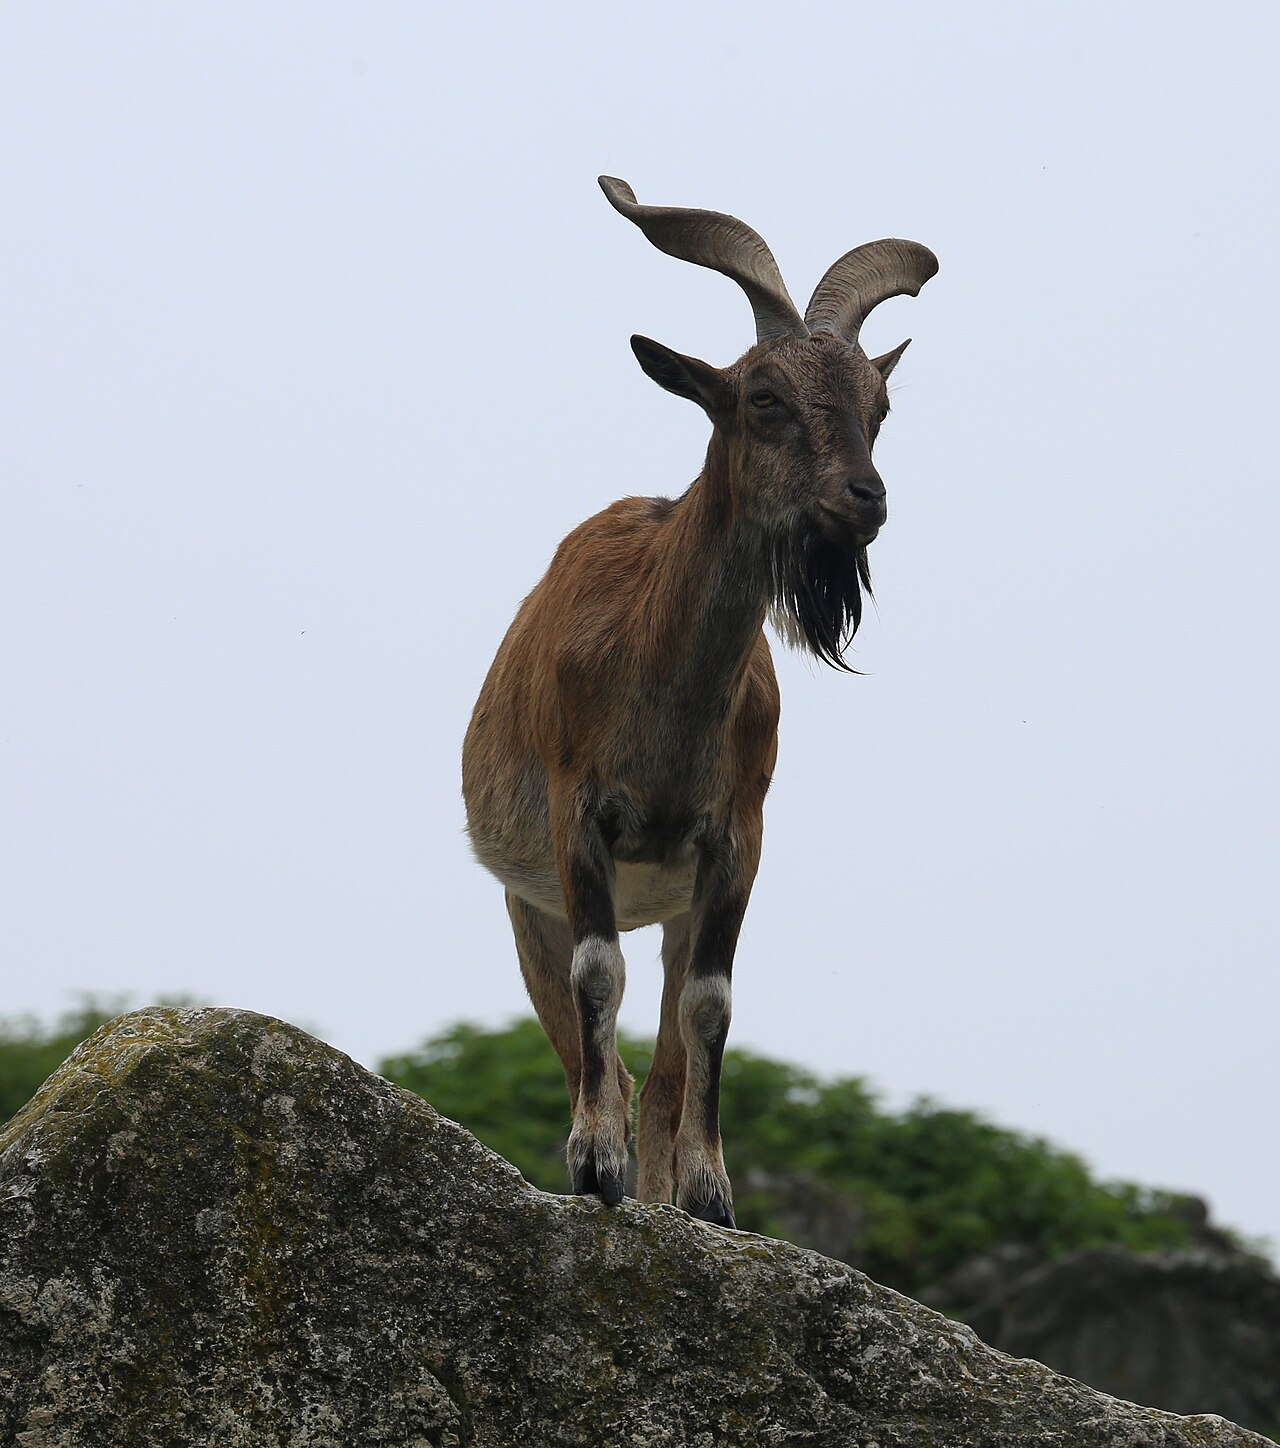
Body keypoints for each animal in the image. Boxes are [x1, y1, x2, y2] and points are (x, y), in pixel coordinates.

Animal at [462, 178, 936, 1227]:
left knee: (668, 1065)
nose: (866, 498)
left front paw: (711, 1193)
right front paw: (596, 1166)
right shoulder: (579, 821)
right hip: (528, 909)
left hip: (672, 906)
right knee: (587, 1045)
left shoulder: (731, 843)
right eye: (763, 397)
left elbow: (711, 1007)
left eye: (880, 405)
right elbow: (600, 978)